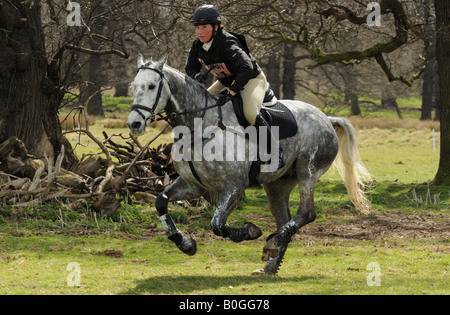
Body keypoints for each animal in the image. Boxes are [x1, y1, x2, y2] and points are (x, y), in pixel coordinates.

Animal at [127, 55, 372, 276]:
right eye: (133, 86)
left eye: (151, 86)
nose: (134, 124)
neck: (199, 127)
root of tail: (326, 119)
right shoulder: (193, 185)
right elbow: (161, 202)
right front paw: (185, 244)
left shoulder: (235, 185)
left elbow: (217, 224)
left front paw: (250, 231)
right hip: (277, 185)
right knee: (285, 219)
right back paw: (269, 265)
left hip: (308, 171)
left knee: (307, 213)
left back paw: (272, 243)